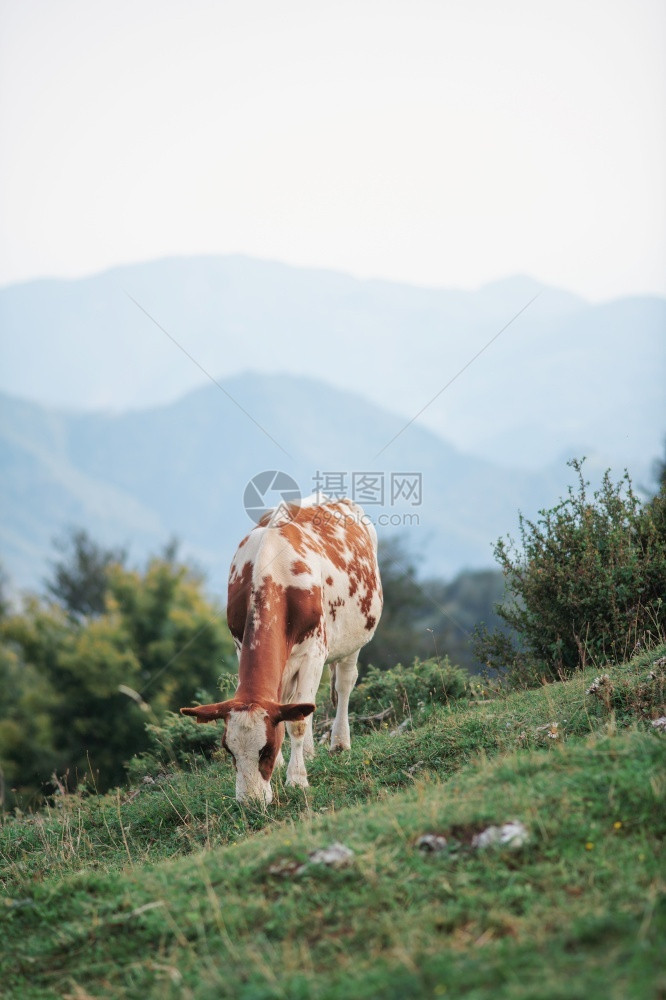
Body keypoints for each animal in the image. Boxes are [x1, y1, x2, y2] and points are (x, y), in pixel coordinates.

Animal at [179, 498, 382, 804]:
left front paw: (297, 779)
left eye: (266, 749)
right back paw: (309, 751)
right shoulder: (241, 645)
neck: (273, 576)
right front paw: (287, 766)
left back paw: (339, 742)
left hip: (355, 636)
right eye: (229, 751)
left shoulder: (314, 653)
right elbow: (288, 711)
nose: (250, 802)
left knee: (344, 684)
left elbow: (297, 722)